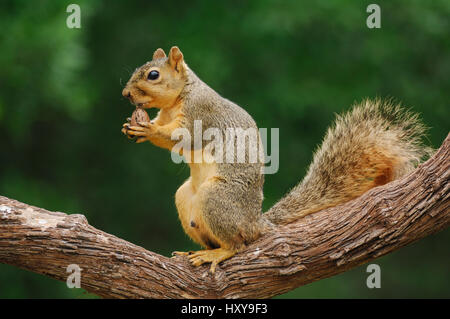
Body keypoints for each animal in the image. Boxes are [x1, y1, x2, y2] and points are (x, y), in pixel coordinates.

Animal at [120, 46, 432, 274]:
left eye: (153, 75)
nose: (125, 94)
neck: (177, 100)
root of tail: (256, 223)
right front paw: (132, 127)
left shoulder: (201, 114)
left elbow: (184, 137)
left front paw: (148, 130)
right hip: (186, 197)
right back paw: (200, 251)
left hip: (217, 197)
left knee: (238, 245)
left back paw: (218, 254)